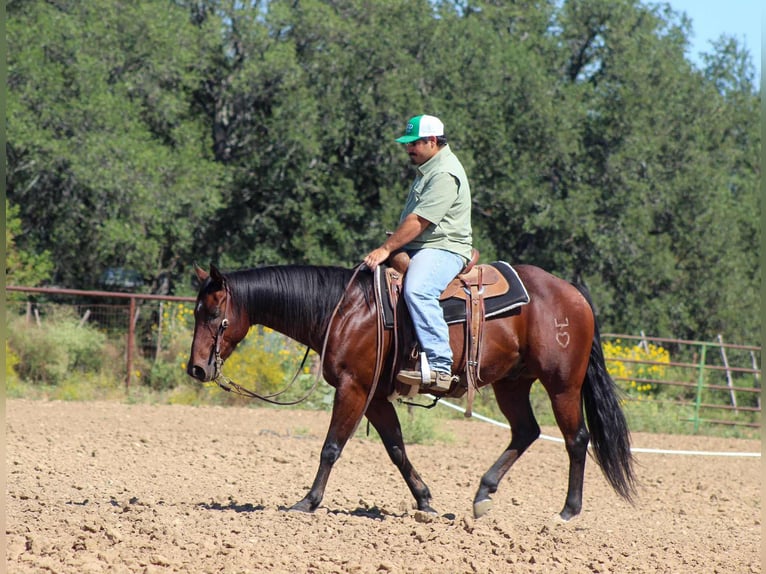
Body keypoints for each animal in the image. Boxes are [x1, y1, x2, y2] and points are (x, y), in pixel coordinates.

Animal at [186, 262, 637, 520]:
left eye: (212, 312)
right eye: (194, 311)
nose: (196, 368)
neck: (345, 310)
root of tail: (572, 293)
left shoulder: (353, 388)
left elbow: (331, 447)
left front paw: (307, 502)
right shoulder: (374, 397)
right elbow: (397, 448)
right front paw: (425, 501)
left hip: (562, 384)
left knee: (576, 439)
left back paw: (568, 511)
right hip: (512, 383)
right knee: (526, 431)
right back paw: (483, 494)